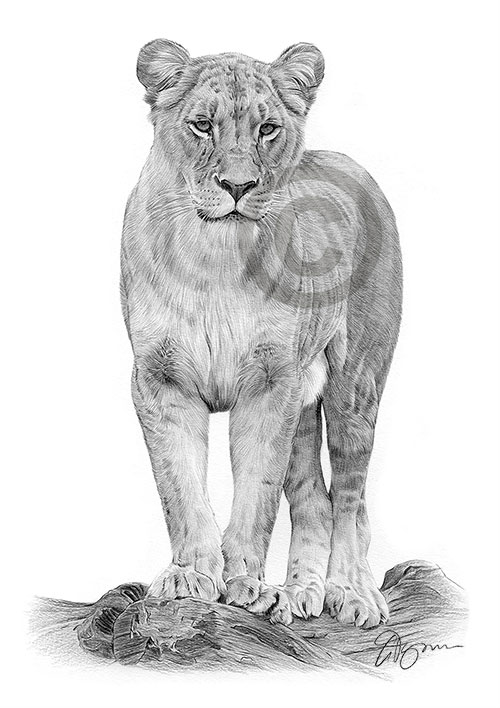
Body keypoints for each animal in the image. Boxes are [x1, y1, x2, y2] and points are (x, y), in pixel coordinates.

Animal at [120, 39, 402, 627]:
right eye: (202, 125)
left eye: (268, 129)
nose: (238, 186)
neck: (213, 258)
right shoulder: (159, 382)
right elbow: (180, 490)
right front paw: (191, 578)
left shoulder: (270, 384)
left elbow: (256, 496)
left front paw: (246, 585)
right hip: (304, 403)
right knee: (315, 502)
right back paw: (300, 594)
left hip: (354, 387)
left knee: (350, 499)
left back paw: (352, 593)